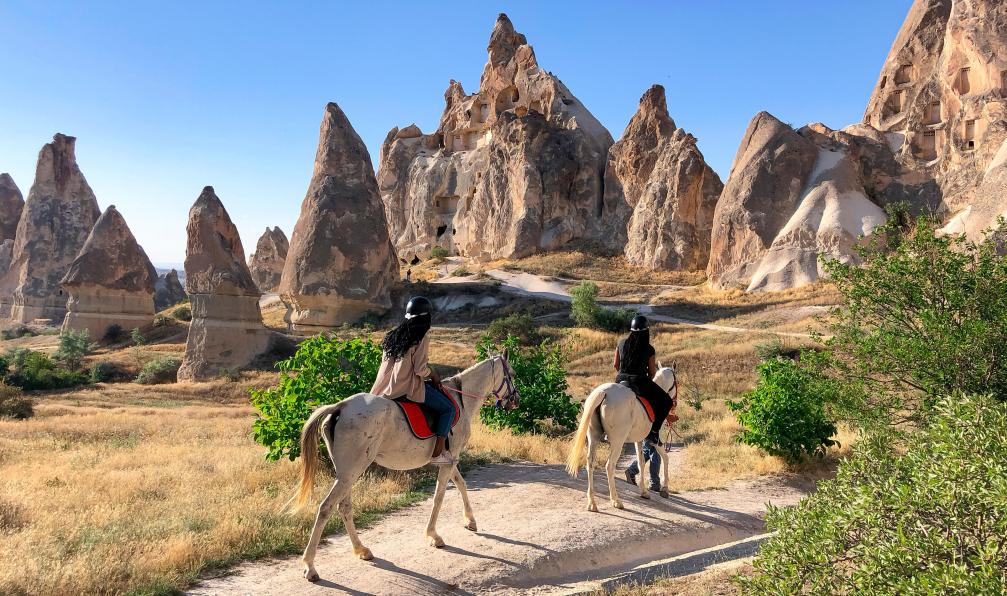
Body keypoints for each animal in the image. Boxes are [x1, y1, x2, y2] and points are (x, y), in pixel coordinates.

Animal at [294, 353, 520, 582]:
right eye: (512, 374)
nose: (515, 400)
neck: (461, 401)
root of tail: (341, 406)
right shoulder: (451, 458)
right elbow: (439, 496)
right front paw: (434, 535)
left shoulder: (450, 459)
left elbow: (461, 484)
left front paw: (470, 521)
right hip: (351, 471)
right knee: (326, 508)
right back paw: (310, 566)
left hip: (347, 473)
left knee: (344, 507)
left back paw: (361, 550)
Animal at [566, 364, 678, 511]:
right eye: (677, 382)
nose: (675, 403)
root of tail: (604, 392)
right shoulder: (656, 441)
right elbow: (665, 458)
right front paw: (665, 489)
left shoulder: (638, 440)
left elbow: (641, 461)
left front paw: (644, 491)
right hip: (617, 442)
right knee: (609, 466)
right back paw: (616, 500)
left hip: (593, 438)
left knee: (590, 463)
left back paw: (592, 502)